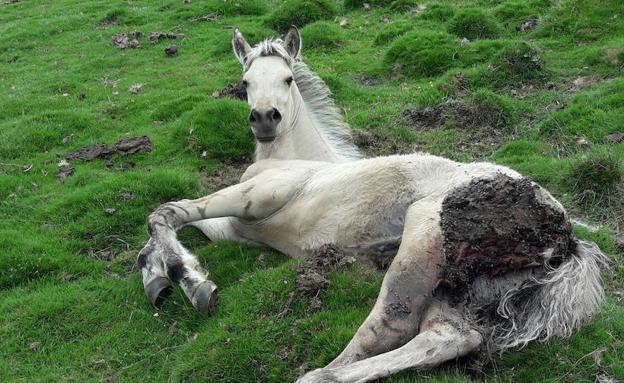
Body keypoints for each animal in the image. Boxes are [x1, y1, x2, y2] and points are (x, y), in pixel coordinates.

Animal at [138, 27, 608, 383]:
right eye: (245, 83)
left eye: (288, 79)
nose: (266, 119)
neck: (291, 157)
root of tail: (566, 237)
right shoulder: (240, 226)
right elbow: (169, 233)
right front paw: (161, 278)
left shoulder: (255, 198)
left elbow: (167, 212)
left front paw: (193, 284)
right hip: (465, 290)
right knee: (449, 337)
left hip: (422, 237)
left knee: (390, 324)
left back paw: (318, 375)